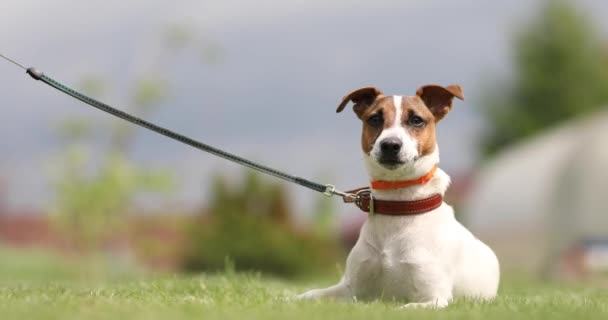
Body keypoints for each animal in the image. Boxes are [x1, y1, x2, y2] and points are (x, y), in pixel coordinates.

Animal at [294, 84, 498, 308]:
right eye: (375, 118)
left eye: (416, 120)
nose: (390, 145)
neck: (398, 205)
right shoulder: (349, 289)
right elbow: (309, 295)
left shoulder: (434, 298)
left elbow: (403, 308)